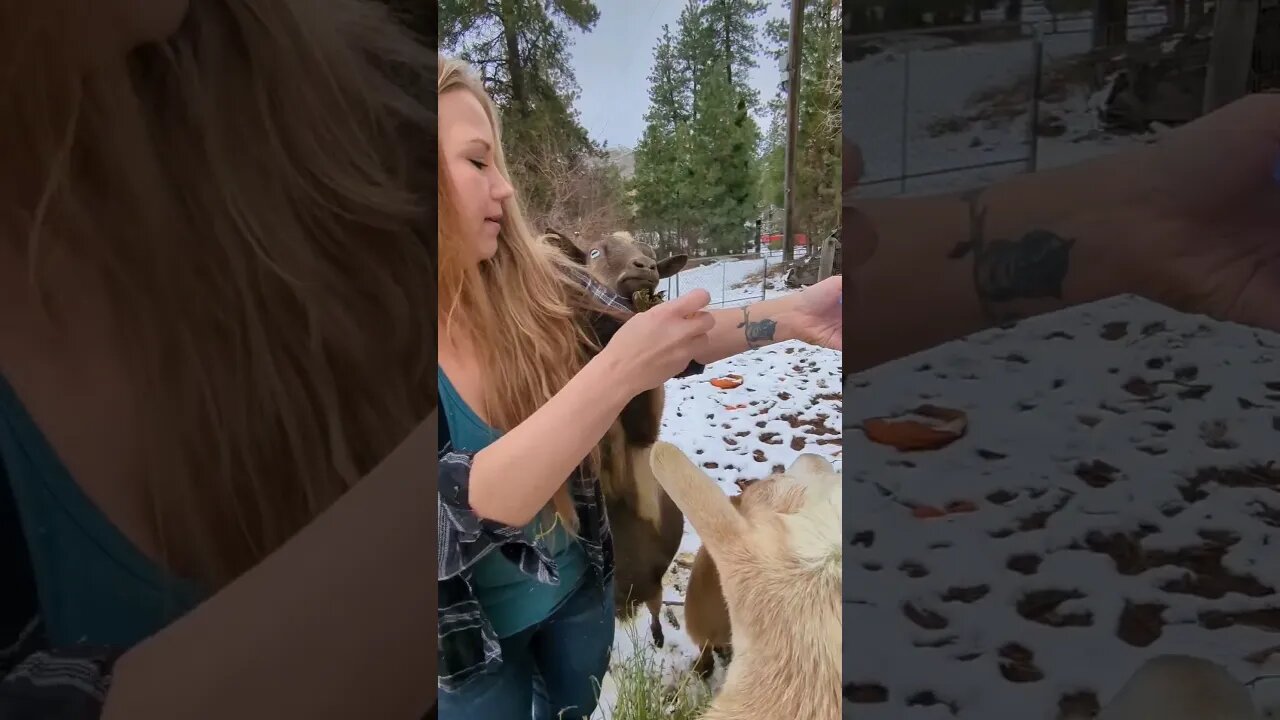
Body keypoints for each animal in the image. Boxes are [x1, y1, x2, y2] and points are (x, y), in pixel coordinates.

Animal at [547, 226, 696, 640]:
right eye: (595, 253)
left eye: (653, 254)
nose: (644, 267)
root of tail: (629, 599)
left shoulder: (644, 435)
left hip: (653, 583)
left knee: (657, 608)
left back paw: (660, 634)